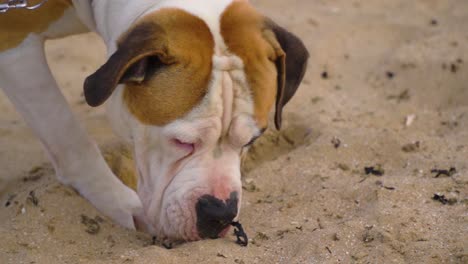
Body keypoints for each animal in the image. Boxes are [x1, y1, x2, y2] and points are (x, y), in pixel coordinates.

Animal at [0, 0, 308, 243]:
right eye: (181, 142)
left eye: (251, 140)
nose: (220, 213)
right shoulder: (15, 44)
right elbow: (67, 134)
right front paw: (120, 203)